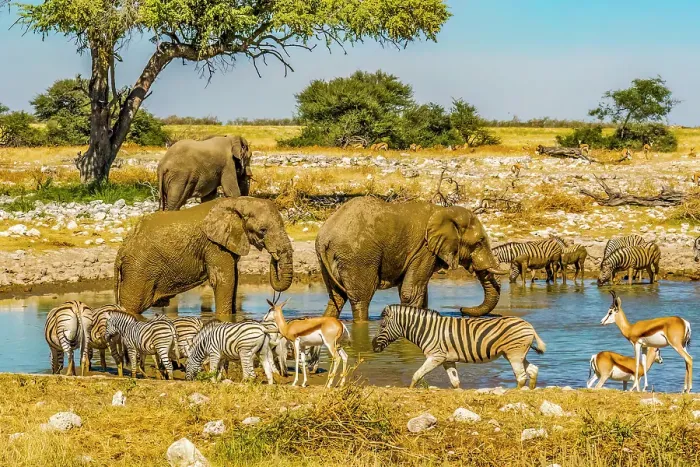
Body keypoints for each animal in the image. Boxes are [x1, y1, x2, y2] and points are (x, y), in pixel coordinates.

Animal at [114, 197, 293, 314]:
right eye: (263, 230)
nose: (274, 256)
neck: (239, 201)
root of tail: (122, 247)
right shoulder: (214, 245)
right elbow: (225, 280)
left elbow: (235, 280)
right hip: (139, 269)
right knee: (132, 304)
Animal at [315, 197, 508, 321]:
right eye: (479, 242)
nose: (461, 310)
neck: (444, 211)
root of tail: (325, 237)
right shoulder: (425, 249)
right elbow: (412, 291)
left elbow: (417, 291)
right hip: (358, 257)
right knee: (361, 298)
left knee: (336, 298)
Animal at [371, 305, 546, 389]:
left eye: (383, 326)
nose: (373, 346)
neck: (427, 330)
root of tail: (529, 326)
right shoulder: (447, 360)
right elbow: (455, 382)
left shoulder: (435, 357)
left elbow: (417, 375)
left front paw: (410, 390)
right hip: (517, 354)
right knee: (533, 370)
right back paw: (531, 390)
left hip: (514, 354)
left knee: (521, 376)